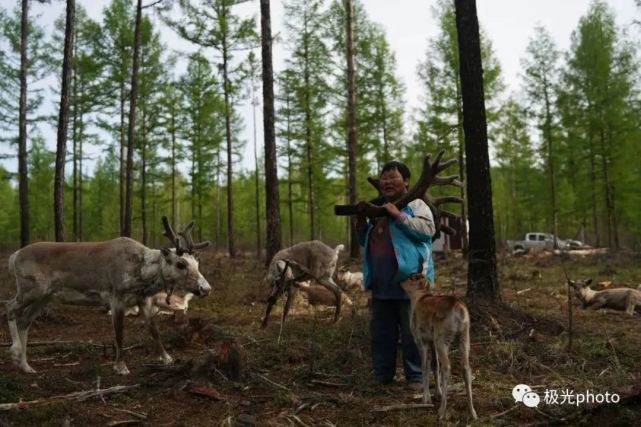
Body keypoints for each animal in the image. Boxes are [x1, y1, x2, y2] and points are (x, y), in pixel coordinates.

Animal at [400, 274, 476, 422]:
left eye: (411, 277)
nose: (400, 281)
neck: (419, 298)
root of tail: (458, 307)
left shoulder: (421, 340)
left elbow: (425, 367)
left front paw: (426, 398)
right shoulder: (432, 341)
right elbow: (435, 365)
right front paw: (437, 393)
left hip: (442, 339)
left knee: (446, 367)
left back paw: (441, 411)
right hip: (464, 337)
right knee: (466, 367)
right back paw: (473, 412)